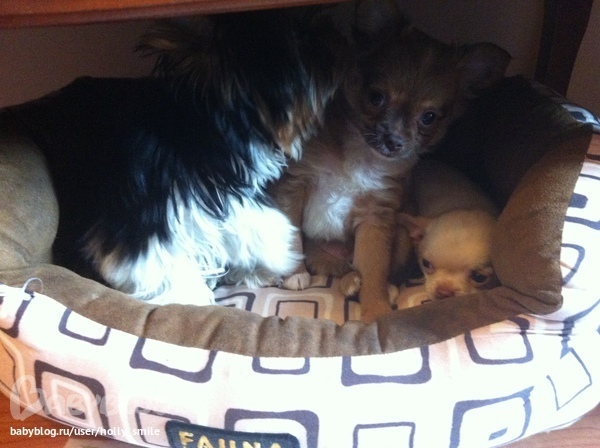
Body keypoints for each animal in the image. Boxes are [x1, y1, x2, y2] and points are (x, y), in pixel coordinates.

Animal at [7, 9, 346, 306]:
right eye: (299, 39)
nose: (333, 31)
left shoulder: (226, 198)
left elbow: (251, 227)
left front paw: (261, 265)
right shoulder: (143, 216)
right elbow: (155, 260)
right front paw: (190, 297)